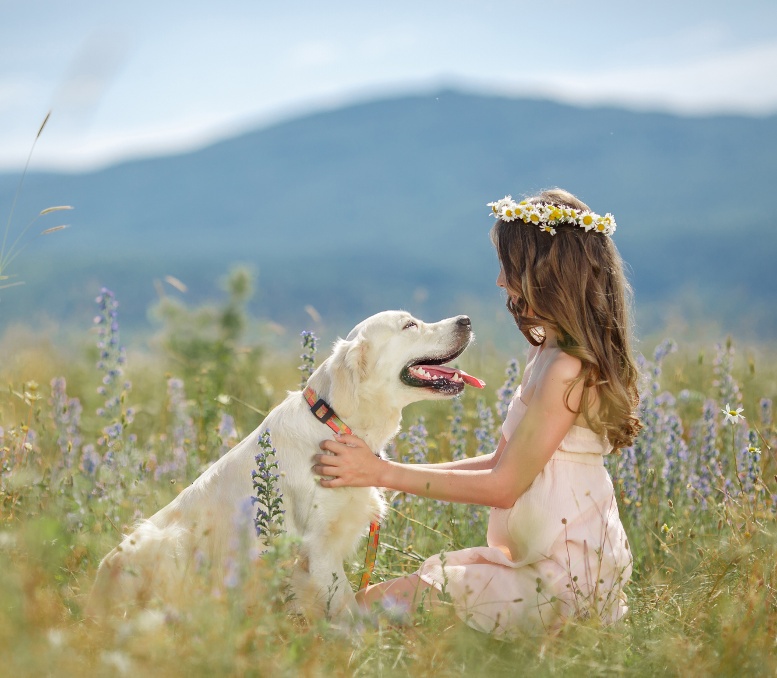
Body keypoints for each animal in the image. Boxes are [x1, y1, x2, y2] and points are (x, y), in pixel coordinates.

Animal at [88, 314, 482, 620]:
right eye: (410, 325)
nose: (466, 320)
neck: (335, 424)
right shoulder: (318, 548)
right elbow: (346, 608)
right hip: (166, 542)